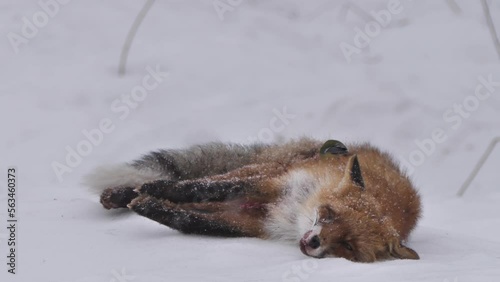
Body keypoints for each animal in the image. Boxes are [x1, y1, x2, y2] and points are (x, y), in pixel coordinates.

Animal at [87, 139, 422, 262]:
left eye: (348, 246)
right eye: (328, 214)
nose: (313, 243)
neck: (295, 214)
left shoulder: (252, 222)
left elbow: (188, 220)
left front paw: (151, 205)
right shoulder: (272, 184)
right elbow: (198, 188)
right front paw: (154, 190)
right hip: (267, 168)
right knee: (205, 181)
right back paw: (125, 192)